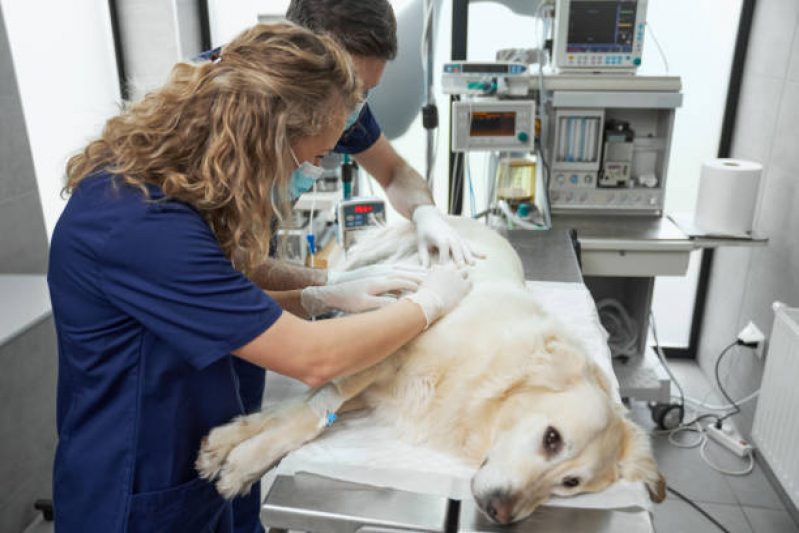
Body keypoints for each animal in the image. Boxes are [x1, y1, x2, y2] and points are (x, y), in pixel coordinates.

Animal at [197, 217, 664, 524]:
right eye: (552, 438)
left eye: (570, 484)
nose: (500, 512)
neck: (489, 374)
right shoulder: (380, 352)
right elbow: (300, 415)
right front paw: (243, 462)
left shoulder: (368, 381)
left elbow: (297, 411)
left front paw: (230, 447)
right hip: (371, 260)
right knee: (334, 280)